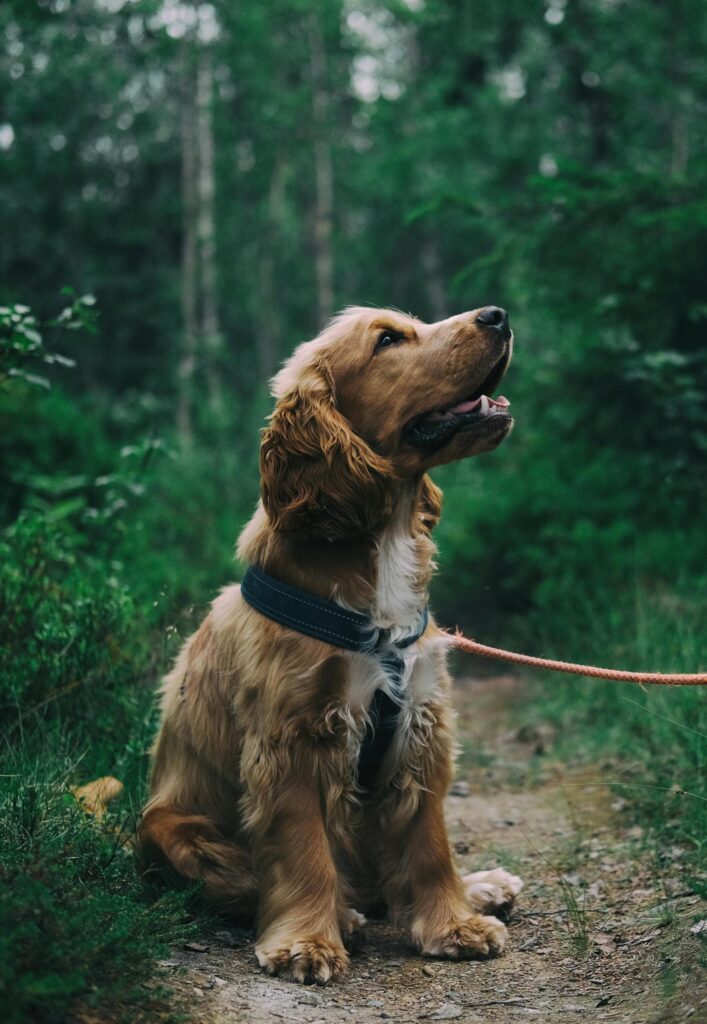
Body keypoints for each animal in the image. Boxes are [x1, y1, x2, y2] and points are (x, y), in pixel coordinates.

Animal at [140, 303, 520, 983]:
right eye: (388, 340)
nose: (498, 314)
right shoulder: (293, 737)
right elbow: (303, 849)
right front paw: (308, 942)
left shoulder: (420, 722)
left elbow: (429, 842)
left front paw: (454, 923)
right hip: (168, 827)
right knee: (253, 881)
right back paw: (343, 914)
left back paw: (479, 887)